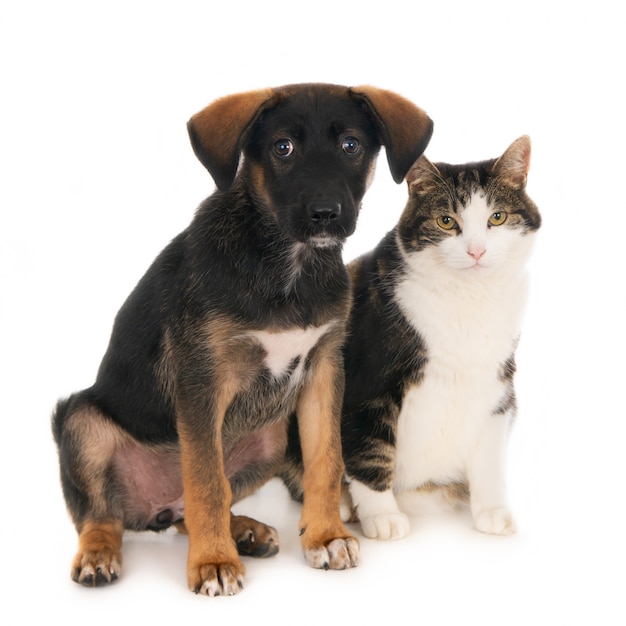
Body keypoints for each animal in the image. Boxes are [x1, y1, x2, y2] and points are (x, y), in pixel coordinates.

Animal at [51, 83, 432, 596]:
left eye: (351, 145)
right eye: (281, 147)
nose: (324, 214)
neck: (288, 267)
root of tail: (151, 510)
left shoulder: (324, 369)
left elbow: (325, 461)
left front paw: (326, 535)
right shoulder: (201, 381)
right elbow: (207, 483)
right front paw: (213, 562)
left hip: (269, 439)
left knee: (187, 510)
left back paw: (244, 531)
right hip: (79, 420)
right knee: (104, 514)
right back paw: (100, 555)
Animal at [338, 135, 540, 536]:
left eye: (497, 217)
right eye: (447, 221)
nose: (476, 251)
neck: (467, 298)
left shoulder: (498, 381)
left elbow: (491, 452)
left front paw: (491, 509)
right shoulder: (368, 380)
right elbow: (370, 450)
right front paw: (381, 516)